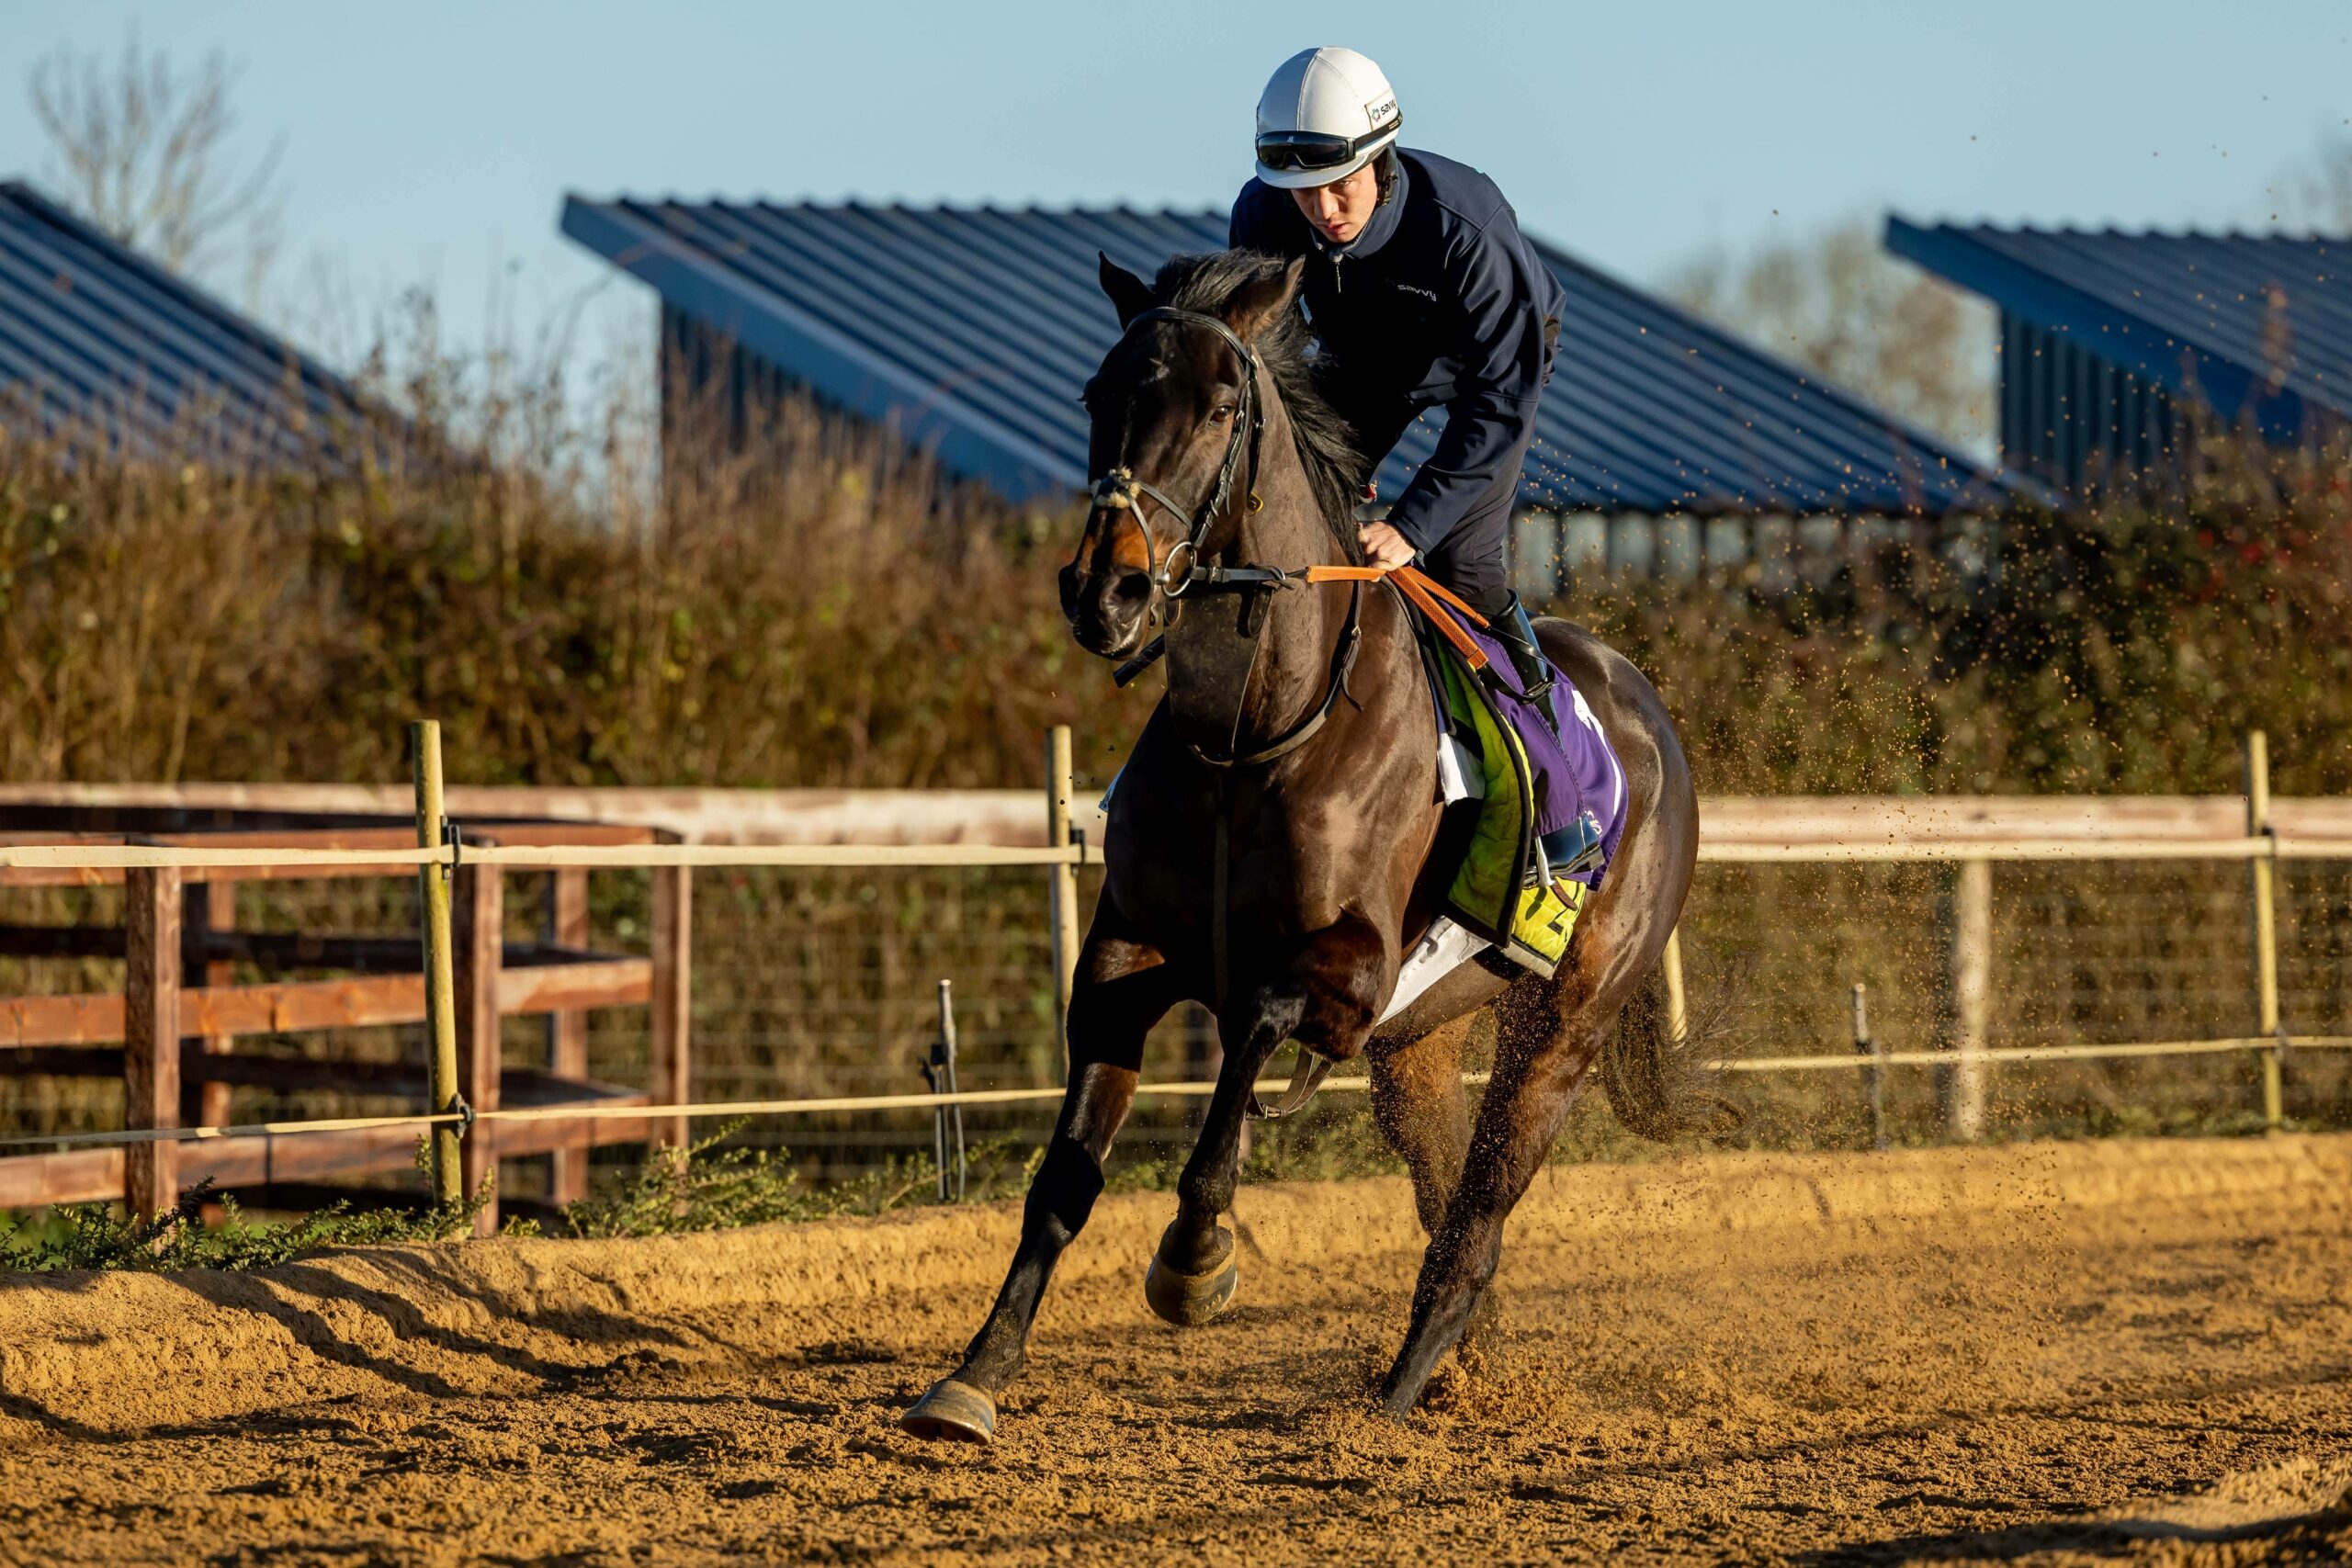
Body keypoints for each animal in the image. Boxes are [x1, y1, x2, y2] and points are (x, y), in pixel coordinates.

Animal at [898, 247, 1712, 1448]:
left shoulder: (1347, 977)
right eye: (1099, 395)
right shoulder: (1124, 958)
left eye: (1219, 409)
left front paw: (1195, 1261)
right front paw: (974, 1373)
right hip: (1420, 1041)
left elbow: (1245, 1049)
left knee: (1478, 1216)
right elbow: (1063, 1179)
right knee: (1446, 1197)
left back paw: (1395, 1395)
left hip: (1562, 1025)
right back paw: (1461, 1374)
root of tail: (1651, 717)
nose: (1107, 588)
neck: (1254, 735)